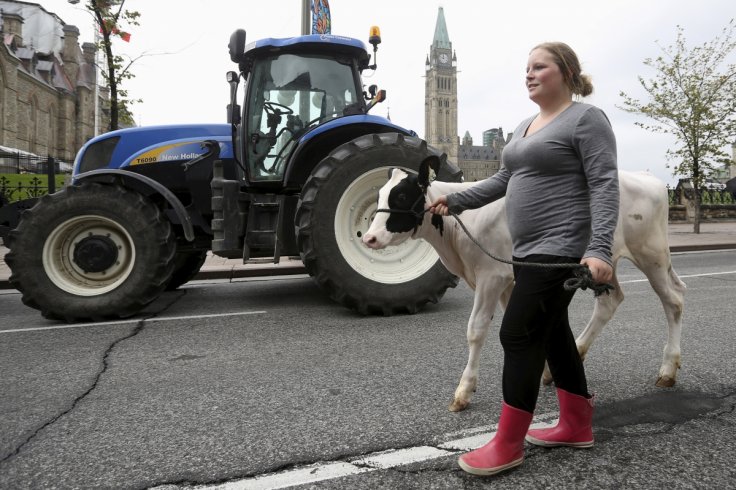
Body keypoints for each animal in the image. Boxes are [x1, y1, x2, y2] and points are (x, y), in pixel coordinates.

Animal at [362, 157, 684, 410]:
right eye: (379, 196)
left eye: (401, 196)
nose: (369, 238)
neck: (459, 229)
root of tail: (646, 177)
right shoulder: (511, 278)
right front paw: (542, 370)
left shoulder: (491, 276)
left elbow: (476, 330)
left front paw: (464, 391)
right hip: (602, 262)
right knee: (610, 301)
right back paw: (575, 354)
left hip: (652, 254)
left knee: (674, 300)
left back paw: (668, 370)